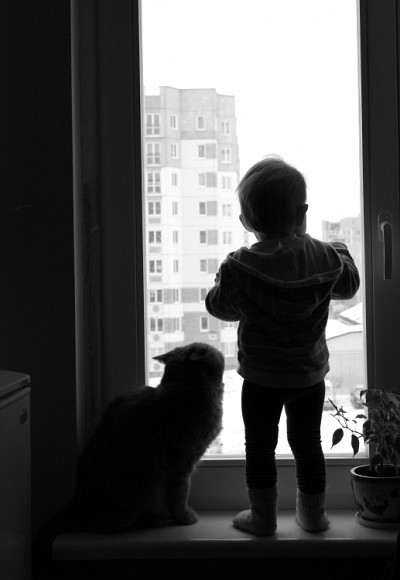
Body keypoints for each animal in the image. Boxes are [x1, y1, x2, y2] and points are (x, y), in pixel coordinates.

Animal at [73, 341, 225, 533]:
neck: (183, 386)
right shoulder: (182, 463)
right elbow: (181, 493)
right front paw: (184, 516)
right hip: (145, 487)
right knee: (116, 524)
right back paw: (156, 520)